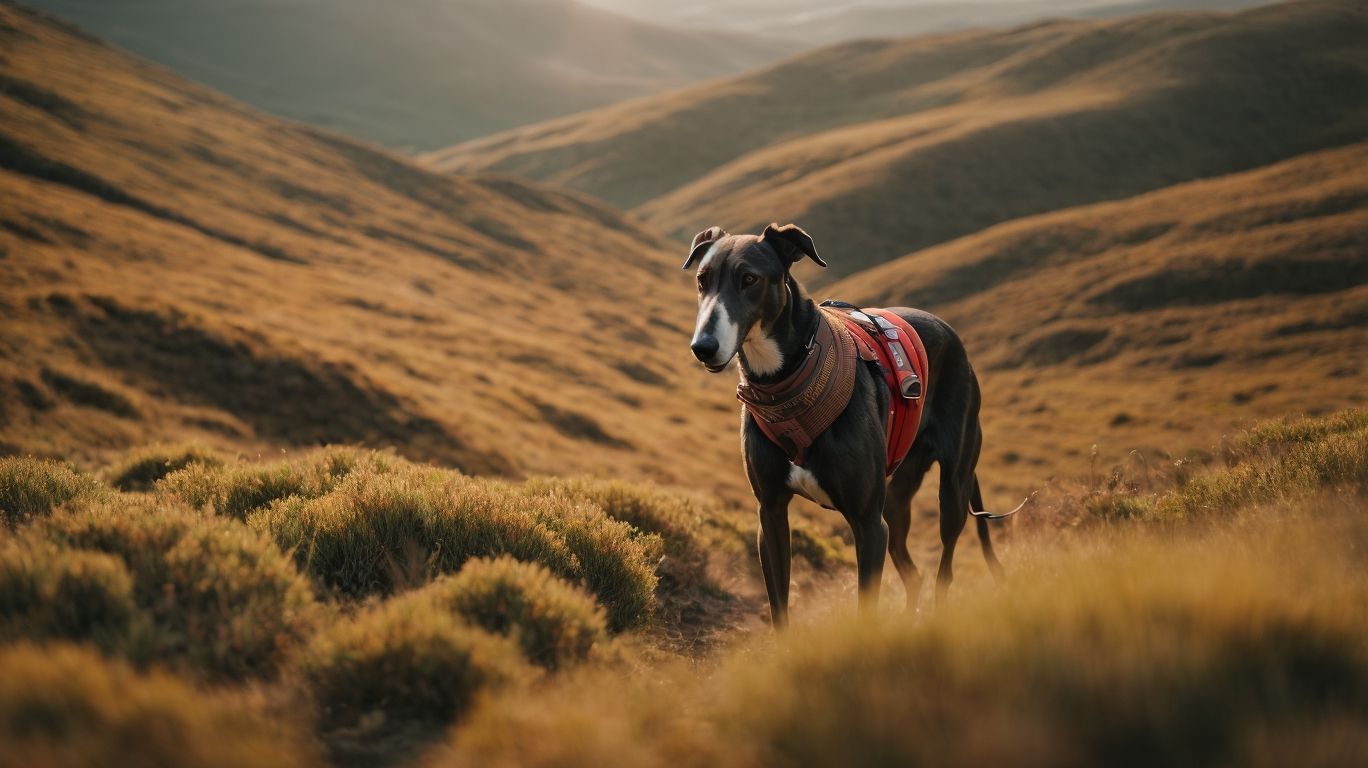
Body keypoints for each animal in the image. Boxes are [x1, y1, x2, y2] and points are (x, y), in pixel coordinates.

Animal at [689, 221, 1023, 624]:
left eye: (749, 278)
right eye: (702, 280)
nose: (702, 347)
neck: (789, 379)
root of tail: (951, 333)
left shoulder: (868, 525)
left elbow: (867, 611)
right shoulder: (770, 515)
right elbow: (779, 607)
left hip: (953, 490)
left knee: (945, 566)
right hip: (896, 500)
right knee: (914, 574)